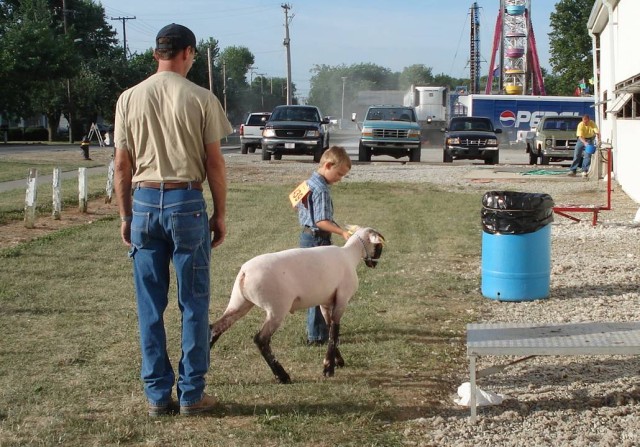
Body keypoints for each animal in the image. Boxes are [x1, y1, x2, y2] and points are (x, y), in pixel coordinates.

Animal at [209, 226, 385, 384]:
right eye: (379, 246)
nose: (374, 264)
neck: (350, 256)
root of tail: (244, 273)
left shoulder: (325, 303)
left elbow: (329, 329)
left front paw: (336, 362)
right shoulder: (342, 298)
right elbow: (335, 331)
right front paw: (328, 369)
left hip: (239, 302)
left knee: (215, 328)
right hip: (277, 308)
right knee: (261, 339)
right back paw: (283, 376)